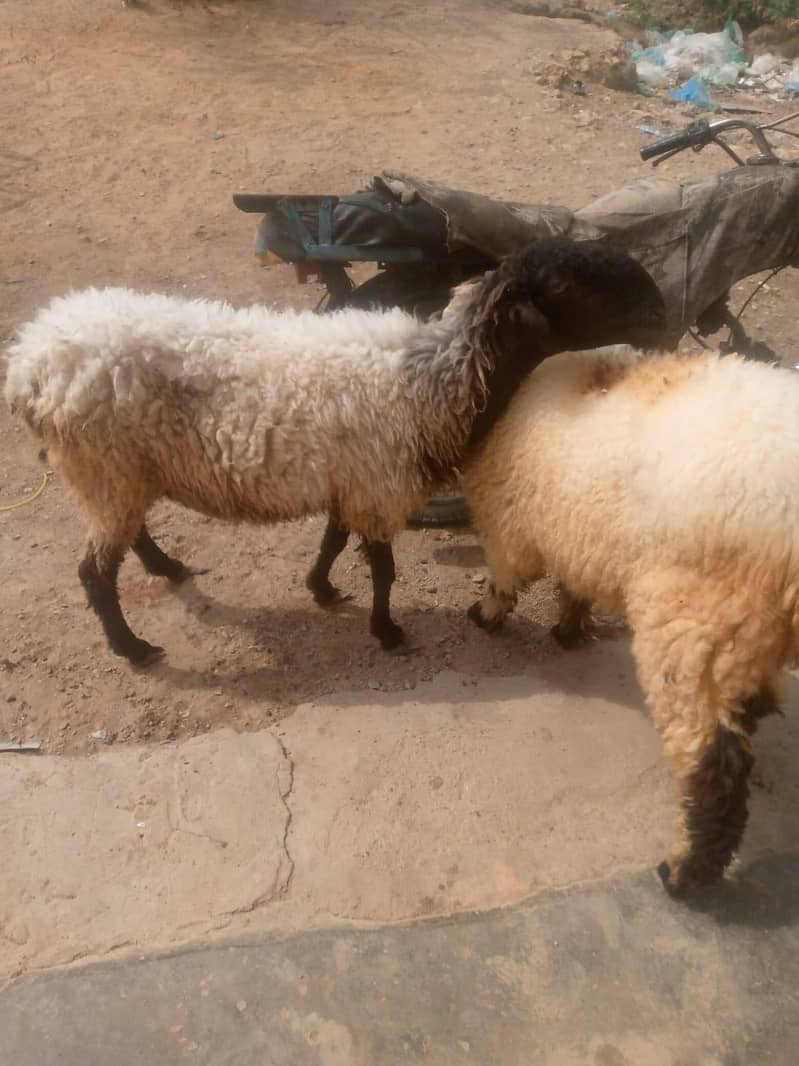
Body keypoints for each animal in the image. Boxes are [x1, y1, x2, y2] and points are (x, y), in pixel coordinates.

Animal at [4, 238, 664, 667]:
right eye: (568, 283)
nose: (661, 313)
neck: (431, 382)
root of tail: (32, 363)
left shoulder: (351, 482)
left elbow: (333, 540)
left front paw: (320, 589)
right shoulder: (376, 485)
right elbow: (383, 568)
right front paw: (387, 631)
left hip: (120, 472)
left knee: (127, 536)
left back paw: (166, 569)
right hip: (103, 466)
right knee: (93, 571)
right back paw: (134, 648)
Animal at [464, 344, 799, 897]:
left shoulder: (509, 519)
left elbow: (506, 574)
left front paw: (487, 615)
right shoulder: (575, 527)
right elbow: (574, 581)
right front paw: (569, 627)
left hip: (691, 622)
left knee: (713, 764)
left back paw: (685, 874)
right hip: (744, 626)